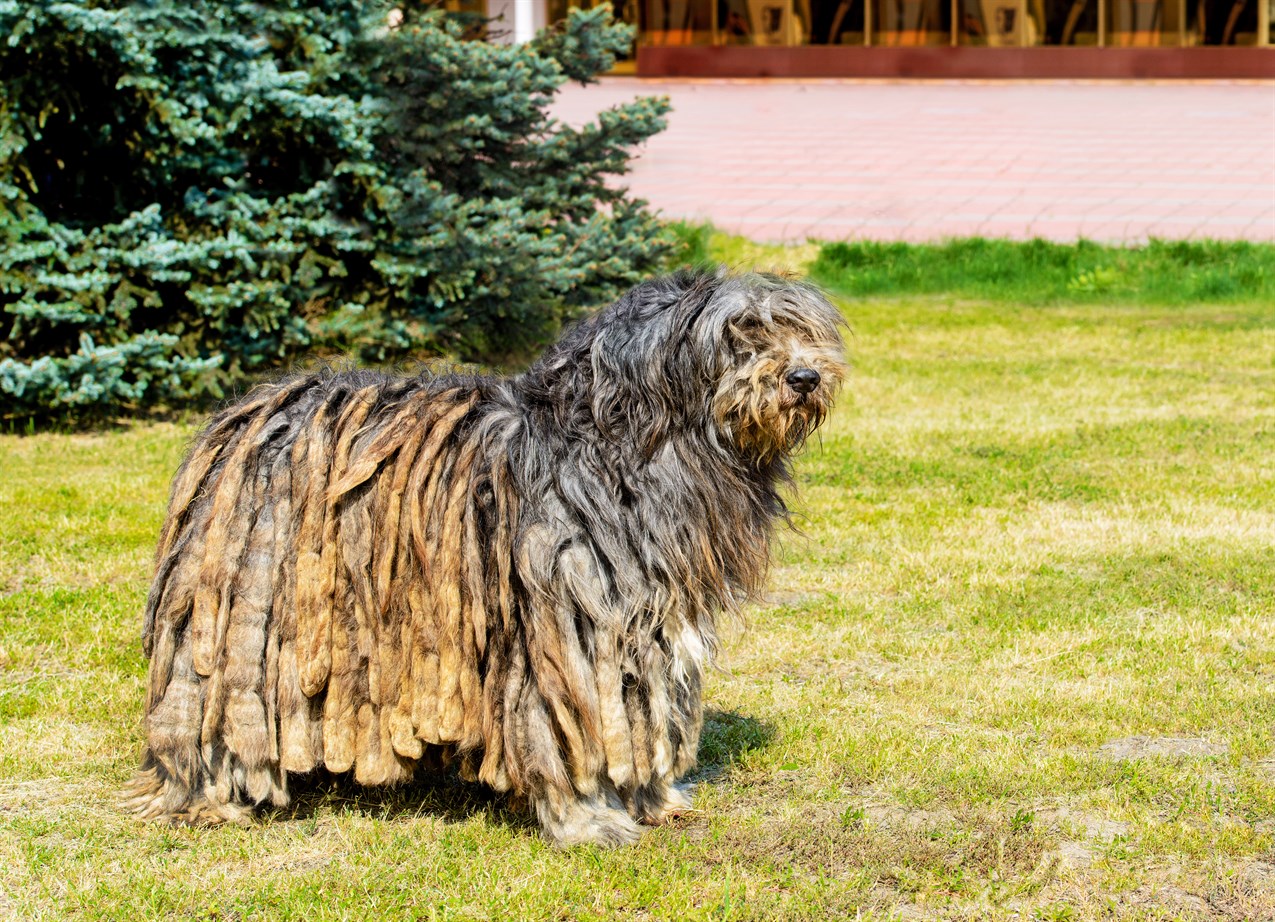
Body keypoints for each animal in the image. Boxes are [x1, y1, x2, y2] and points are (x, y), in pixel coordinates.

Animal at [126, 270, 846, 846]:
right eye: (740, 333)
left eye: (797, 328)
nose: (805, 377)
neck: (625, 445)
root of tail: (244, 414)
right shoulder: (566, 621)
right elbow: (572, 726)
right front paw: (589, 819)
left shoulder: (650, 621)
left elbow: (643, 709)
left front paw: (655, 798)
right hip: (239, 621)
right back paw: (209, 796)